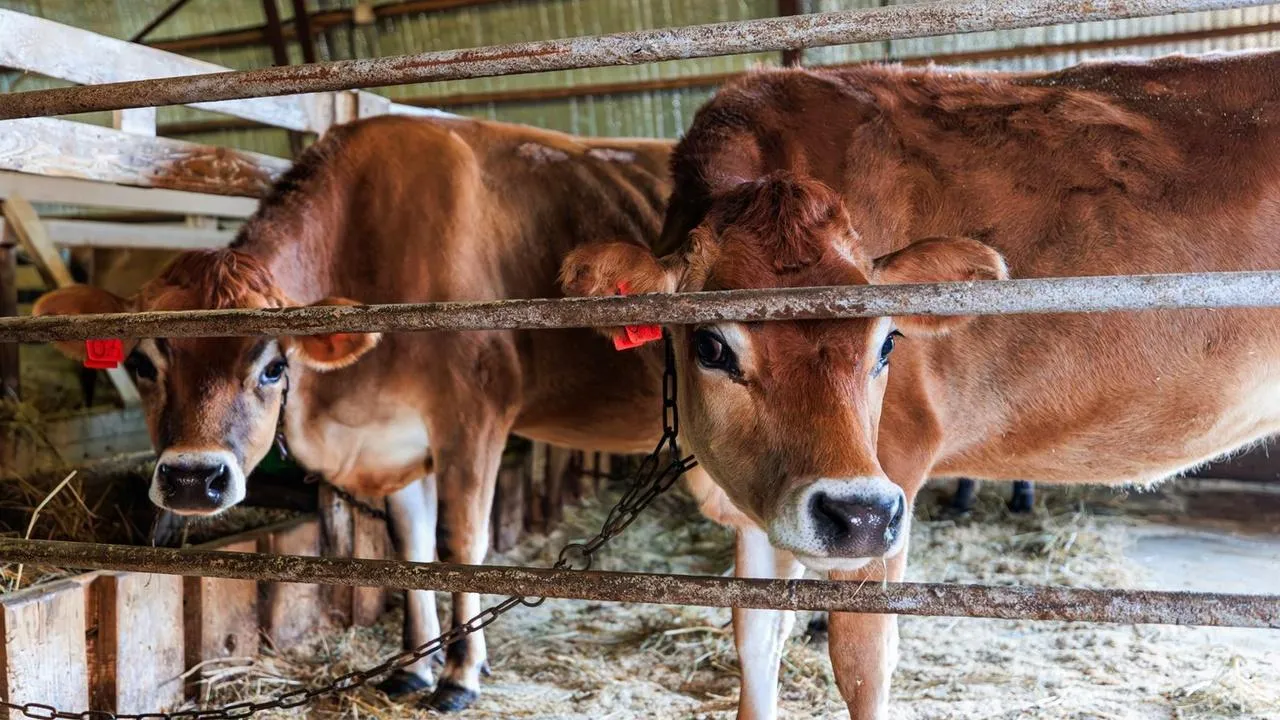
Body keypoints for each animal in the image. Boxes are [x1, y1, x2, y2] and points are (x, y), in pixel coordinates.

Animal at [34, 115, 675, 712]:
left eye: (274, 366)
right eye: (142, 363)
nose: (194, 479)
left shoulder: (474, 417)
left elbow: (463, 544)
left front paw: (460, 676)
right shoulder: (397, 441)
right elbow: (411, 548)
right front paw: (413, 668)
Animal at [560, 51, 1280, 719]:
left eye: (888, 343)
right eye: (710, 345)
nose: (858, 515)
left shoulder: (894, 469)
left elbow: (862, 661)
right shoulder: (759, 503)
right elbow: (756, 638)